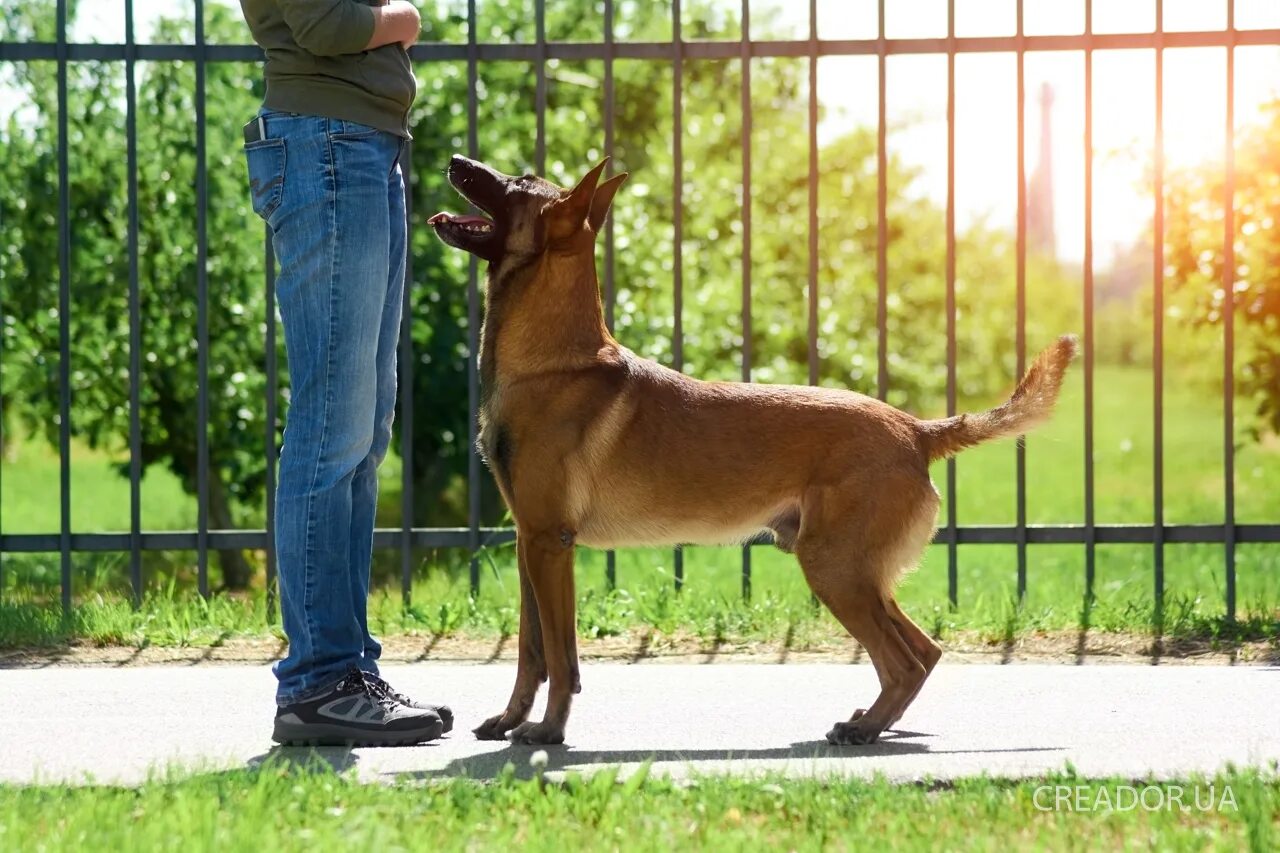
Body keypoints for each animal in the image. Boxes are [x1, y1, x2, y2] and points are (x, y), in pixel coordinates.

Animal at [432, 154, 1080, 742]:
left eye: (516, 182)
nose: (456, 160)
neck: (554, 360)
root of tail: (917, 431)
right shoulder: (530, 545)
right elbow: (530, 651)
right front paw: (510, 721)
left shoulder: (549, 545)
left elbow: (560, 656)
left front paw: (547, 731)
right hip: (857, 573)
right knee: (924, 651)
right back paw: (875, 721)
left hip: (835, 568)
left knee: (904, 659)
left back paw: (864, 729)